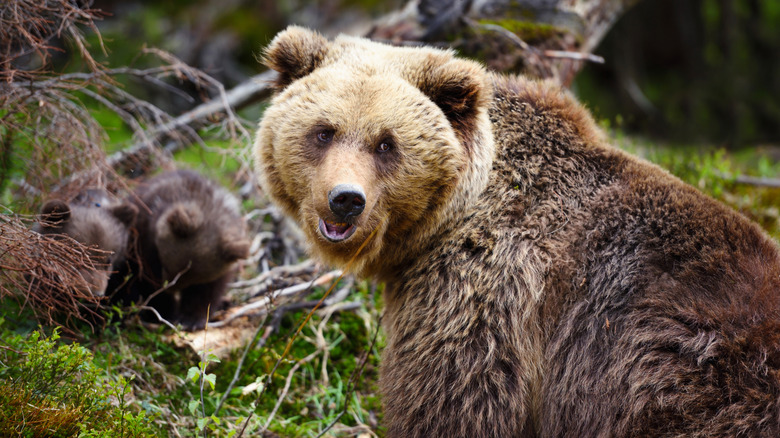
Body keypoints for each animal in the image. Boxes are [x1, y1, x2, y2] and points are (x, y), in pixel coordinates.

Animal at [115, 169, 250, 330]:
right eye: (166, 266)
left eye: (192, 279)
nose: (169, 288)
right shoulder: (144, 240)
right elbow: (147, 279)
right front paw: (166, 312)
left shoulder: (221, 268)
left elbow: (207, 292)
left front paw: (190, 319)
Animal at [254, 27, 780, 438]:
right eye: (324, 131)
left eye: (387, 143)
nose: (346, 198)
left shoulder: (483, 291)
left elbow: (454, 399)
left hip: (697, 379)